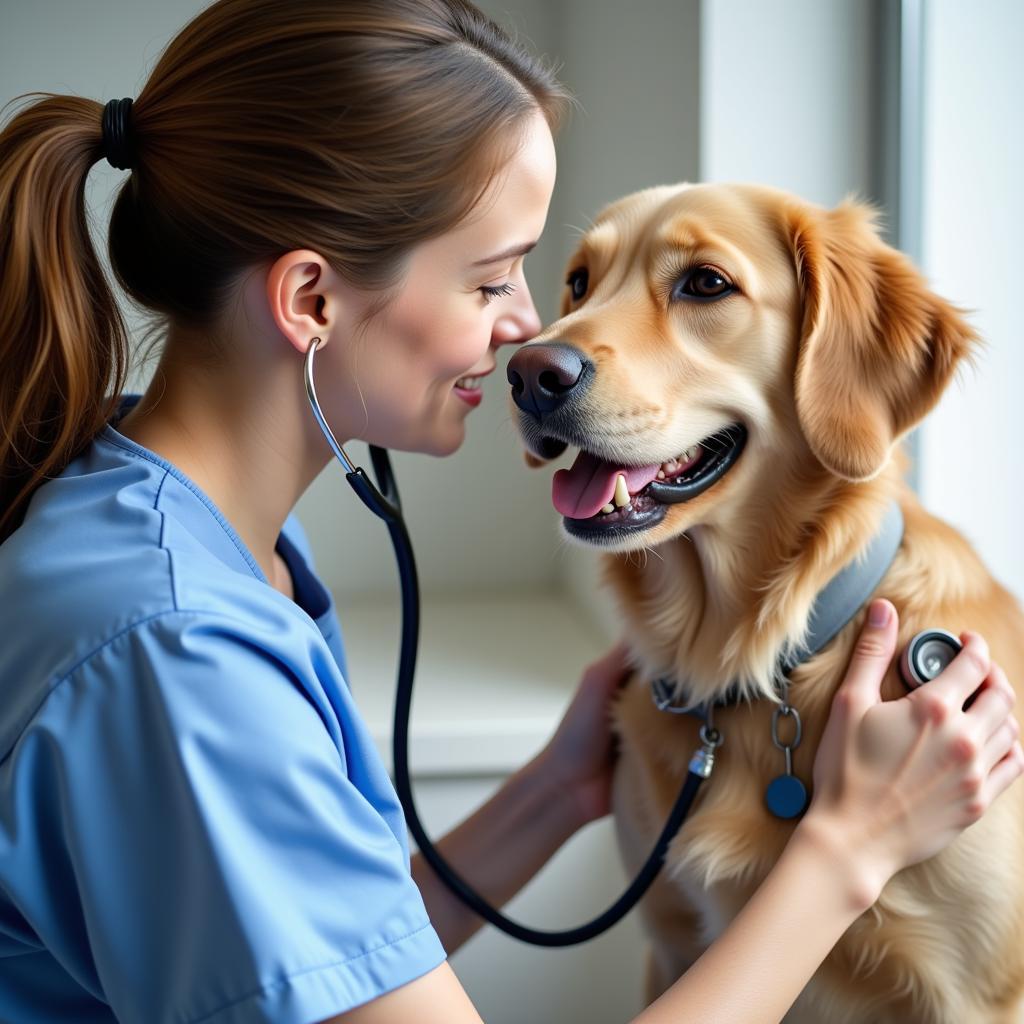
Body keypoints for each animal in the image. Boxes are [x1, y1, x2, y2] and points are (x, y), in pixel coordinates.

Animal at [507, 184, 1024, 1024]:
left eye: (706, 284)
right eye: (580, 282)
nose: (527, 372)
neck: (755, 651)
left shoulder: (979, 994)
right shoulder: (672, 943)